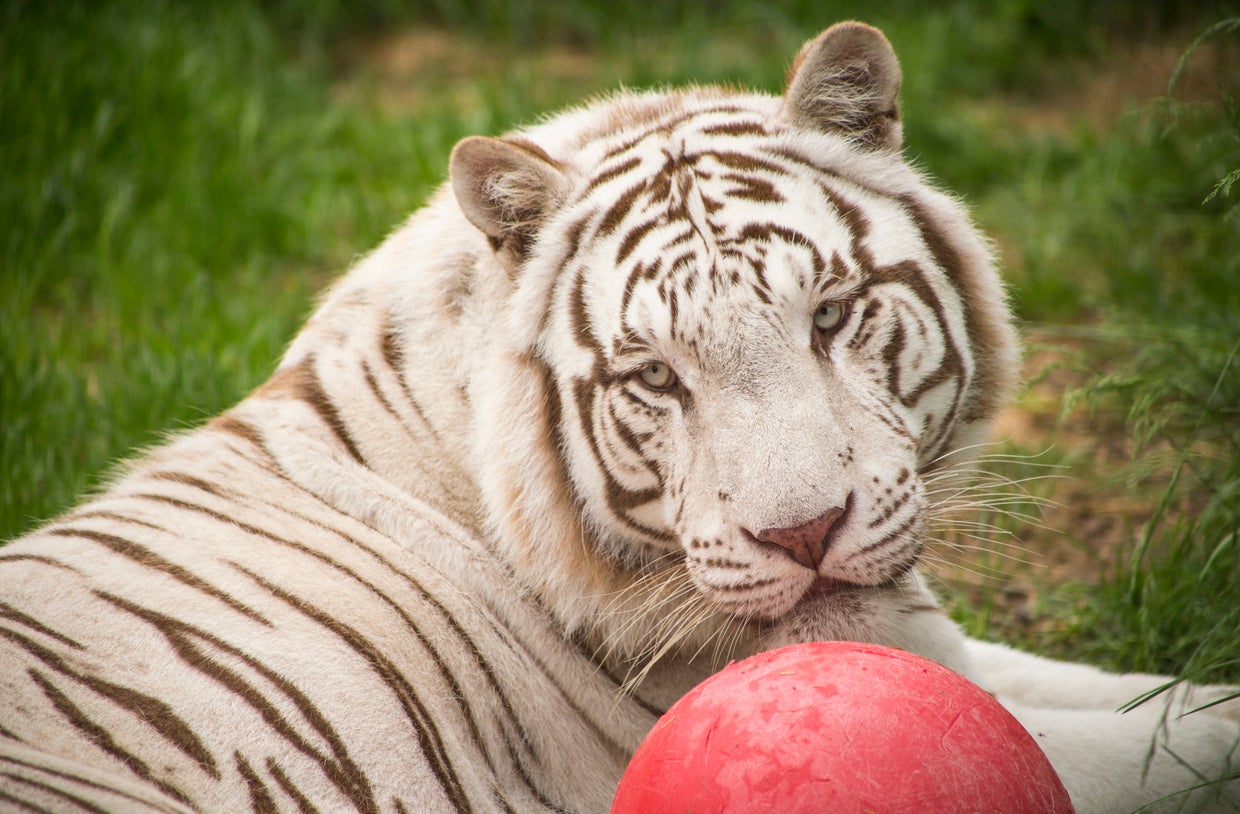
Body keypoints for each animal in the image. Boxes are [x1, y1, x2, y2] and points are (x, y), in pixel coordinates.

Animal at [1, 20, 1237, 814]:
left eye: (830, 314)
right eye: (654, 377)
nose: (805, 535)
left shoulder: (944, 646)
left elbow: (1172, 698)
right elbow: (1174, 747)